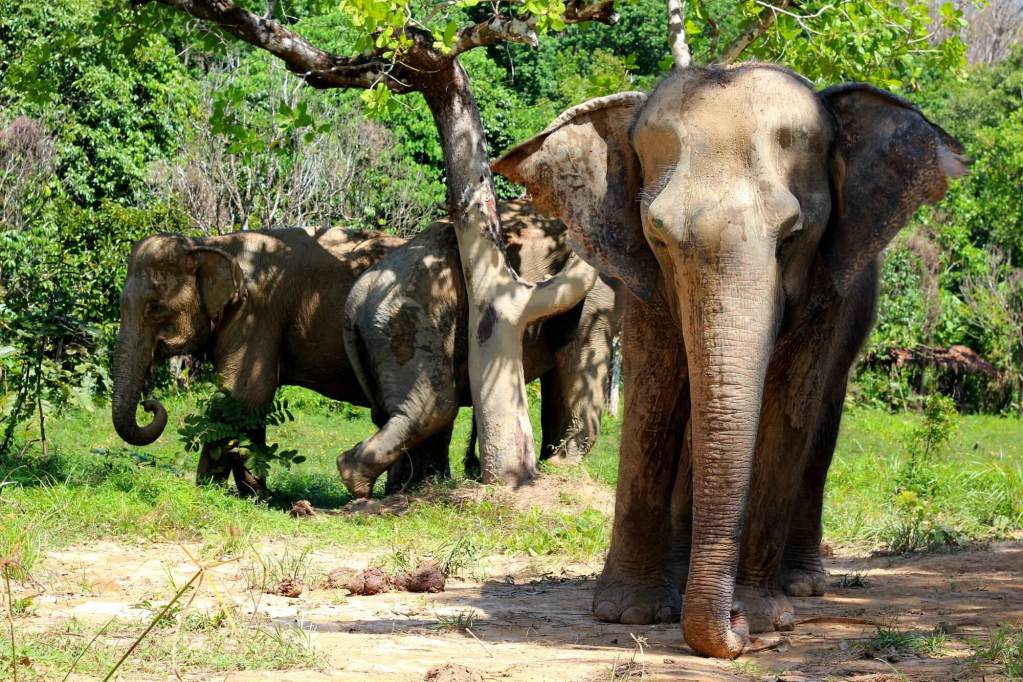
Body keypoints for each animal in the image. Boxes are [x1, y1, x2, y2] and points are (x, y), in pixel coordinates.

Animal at [112, 227, 403, 495]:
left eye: (155, 307)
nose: (149, 405)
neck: (211, 244)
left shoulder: (257, 312)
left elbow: (243, 396)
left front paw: (207, 490)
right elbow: (249, 405)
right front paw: (255, 494)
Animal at [338, 199, 622, 498]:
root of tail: (355, 301)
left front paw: (553, 463)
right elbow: (577, 359)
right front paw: (560, 465)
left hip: (377, 338)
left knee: (391, 413)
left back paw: (399, 486)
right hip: (408, 321)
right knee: (436, 406)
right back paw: (363, 481)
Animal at [492, 64, 967, 658]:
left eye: (794, 237)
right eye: (657, 236)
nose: (736, 629)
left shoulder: (827, 287)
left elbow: (789, 407)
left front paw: (763, 616)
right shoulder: (643, 282)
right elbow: (654, 398)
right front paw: (630, 612)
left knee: (822, 420)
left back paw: (800, 586)